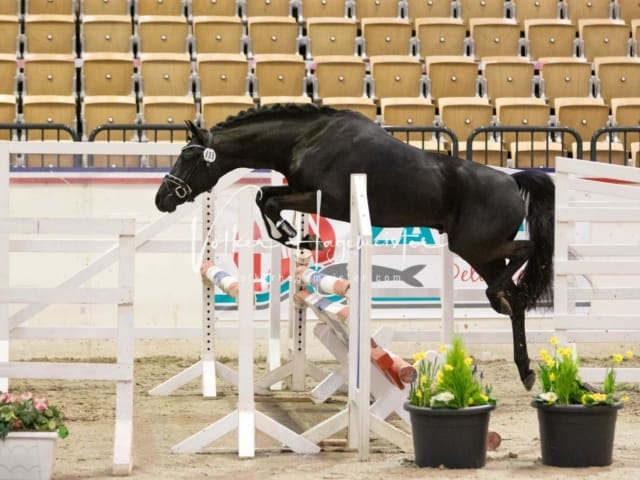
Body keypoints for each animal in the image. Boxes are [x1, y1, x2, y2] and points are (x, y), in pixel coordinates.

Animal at [156, 102, 556, 390]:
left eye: (189, 156)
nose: (163, 199)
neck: (308, 138)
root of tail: (511, 181)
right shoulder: (297, 190)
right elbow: (264, 195)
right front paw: (300, 238)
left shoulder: (327, 200)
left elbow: (267, 200)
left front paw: (305, 238)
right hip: (479, 252)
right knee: (516, 299)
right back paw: (524, 368)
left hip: (475, 245)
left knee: (527, 254)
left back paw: (500, 302)